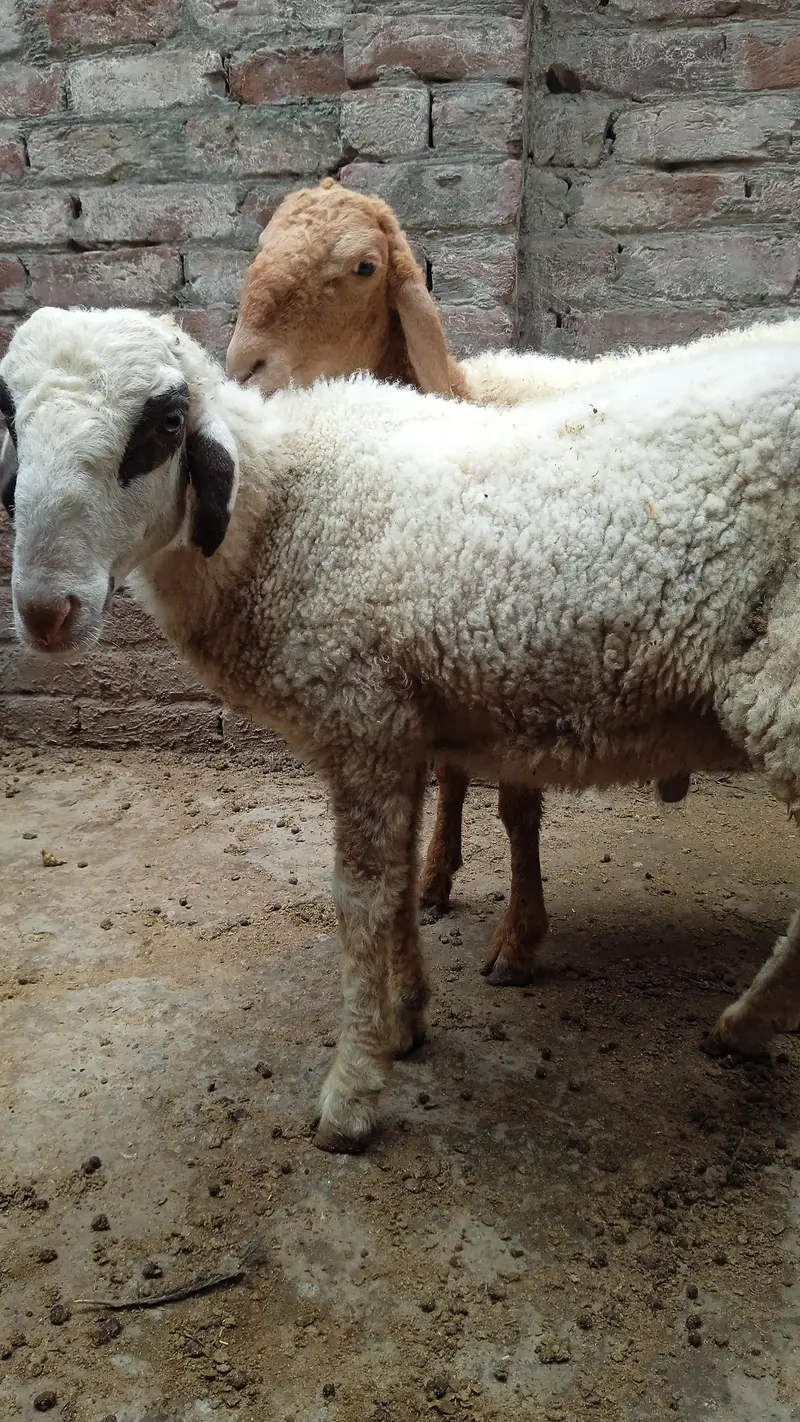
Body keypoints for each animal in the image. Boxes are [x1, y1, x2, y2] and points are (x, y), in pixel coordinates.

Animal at [6, 305, 800, 1155]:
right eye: (10, 416)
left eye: (165, 424)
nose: (46, 612)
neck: (282, 512)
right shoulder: (400, 726)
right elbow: (400, 887)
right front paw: (407, 1020)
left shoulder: (360, 719)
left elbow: (363, 901)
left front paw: (351, 1094)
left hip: (784, 686)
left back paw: (745, 1025)